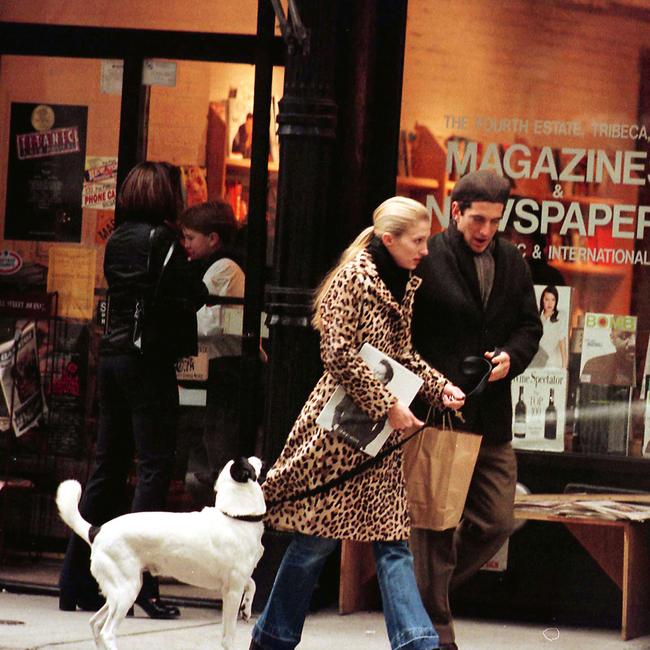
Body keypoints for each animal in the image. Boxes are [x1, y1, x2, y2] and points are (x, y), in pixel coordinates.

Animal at [56, 456, 266, 648]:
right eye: (248, 460)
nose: (258, 457)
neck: (235, 516)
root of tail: (96, 531)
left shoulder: (236, 581)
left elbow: (253, 583)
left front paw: (247, 608)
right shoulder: (232, 591)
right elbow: (228, 636)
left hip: (119, 591)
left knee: (95, 623)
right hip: (126, 591)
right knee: (107, 632)